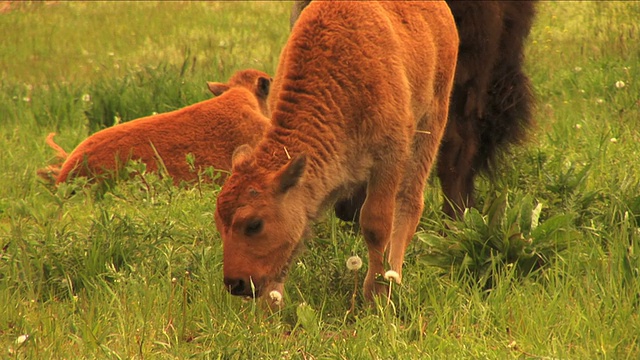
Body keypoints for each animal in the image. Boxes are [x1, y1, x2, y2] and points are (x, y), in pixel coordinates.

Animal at [216, 1, 460, 302]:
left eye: (254, 224)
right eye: (219, 223)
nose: (235, 283)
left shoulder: (388, 158)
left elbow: (376, 224)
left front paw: (376, 294)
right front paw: (271, 304)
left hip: (431, 123)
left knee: (409, 201)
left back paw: (395, 277)